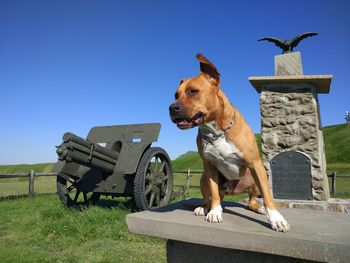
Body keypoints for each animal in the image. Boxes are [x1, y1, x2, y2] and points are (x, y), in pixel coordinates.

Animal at [170, 54, 290, 233]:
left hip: (257, 176)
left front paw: (276, 219)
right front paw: (214, 212)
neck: (216, 130)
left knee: (251, 202)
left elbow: (268, 195)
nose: (171, 108)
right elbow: (213, 193)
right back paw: (204, 208)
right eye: (176, 95)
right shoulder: (209, 167)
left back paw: (260, 209)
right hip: (203, 178)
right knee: (210, 197)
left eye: (193, 91)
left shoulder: (255, 164)